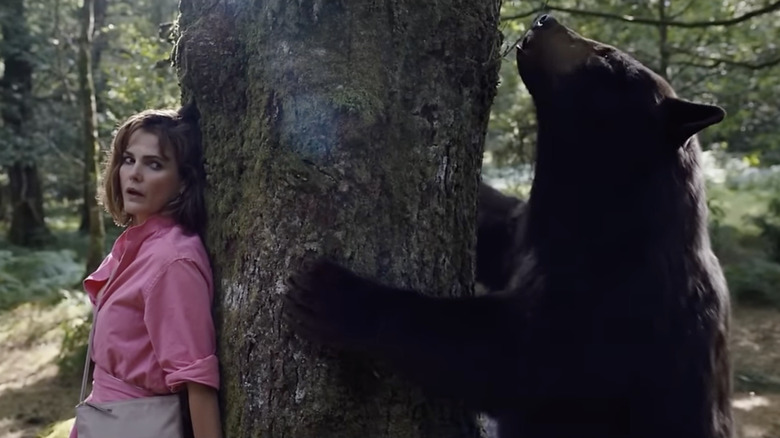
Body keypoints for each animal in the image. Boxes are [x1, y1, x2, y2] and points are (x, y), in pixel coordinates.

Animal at [283, 14, 732, 438]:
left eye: (607, 59)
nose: (545, 19)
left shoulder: (621, 304)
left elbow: (507, 357)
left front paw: (336, 294)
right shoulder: (529, 233)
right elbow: (495, 233)